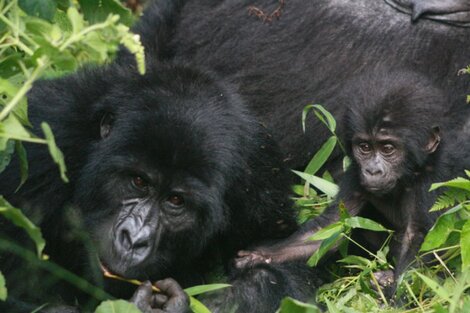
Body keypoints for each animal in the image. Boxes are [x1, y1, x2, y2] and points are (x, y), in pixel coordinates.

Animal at [237, 67, 470, 292]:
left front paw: (398, 294)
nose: (372, 171)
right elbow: (329, 228)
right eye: (365, 147)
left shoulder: (433, 178)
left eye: (388, 149)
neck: (410, 173)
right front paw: (259, 256)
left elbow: (420, 240)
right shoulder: (354, 175)